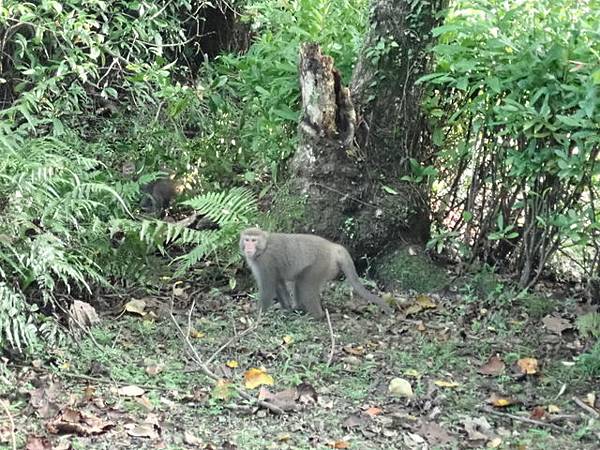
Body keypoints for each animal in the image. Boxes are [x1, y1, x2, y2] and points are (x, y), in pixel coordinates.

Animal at [239, 227, 394, 318]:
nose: (249, 247)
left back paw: (317, 316)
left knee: (304, 285)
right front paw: (286, 308)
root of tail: (333, 247)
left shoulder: (266, 261)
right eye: (246, 240)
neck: (263, 247)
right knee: (299, 284)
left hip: (321, 264)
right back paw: (299, 309)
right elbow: (279, 283)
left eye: (253, 240)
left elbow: (268, 287)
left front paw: (258, 316)